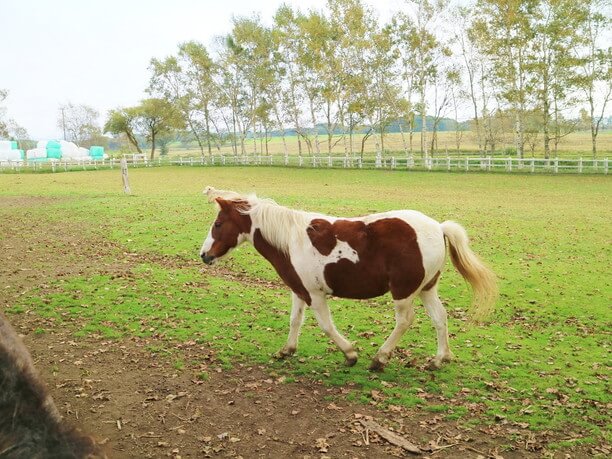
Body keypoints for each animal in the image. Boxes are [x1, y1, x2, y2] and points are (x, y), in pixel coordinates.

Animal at [201, 189, 498, 372]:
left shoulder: (315, 295)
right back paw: (439, 359)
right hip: (426, 288)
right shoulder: (298, 290)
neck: (292, 240)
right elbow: (295, 320)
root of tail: (438, 227)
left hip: (403, 292)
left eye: (218, 224)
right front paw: (287, 350)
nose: (204, 255)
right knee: (440, 318)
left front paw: (350, 354)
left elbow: (326, 326)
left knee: (405, 321)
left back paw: (380, 358)